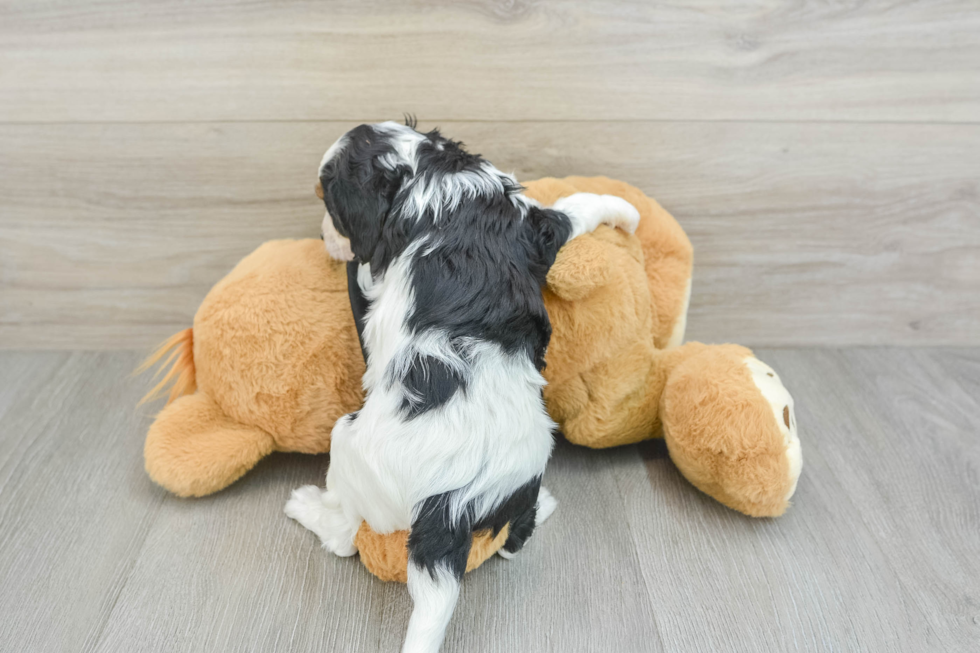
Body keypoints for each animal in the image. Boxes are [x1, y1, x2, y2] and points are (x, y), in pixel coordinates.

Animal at [288, 121, 640, 652]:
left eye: (328, 203)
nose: (325, 236)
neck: (425, 173)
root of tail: (451, 505)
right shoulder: (533, 225)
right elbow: (575, 207)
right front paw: (628, 212)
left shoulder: (372, 276)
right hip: (526, 470)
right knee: (514, 539)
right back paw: (541, 508)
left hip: (347, 442)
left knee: (346, 533)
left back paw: (307, 507)